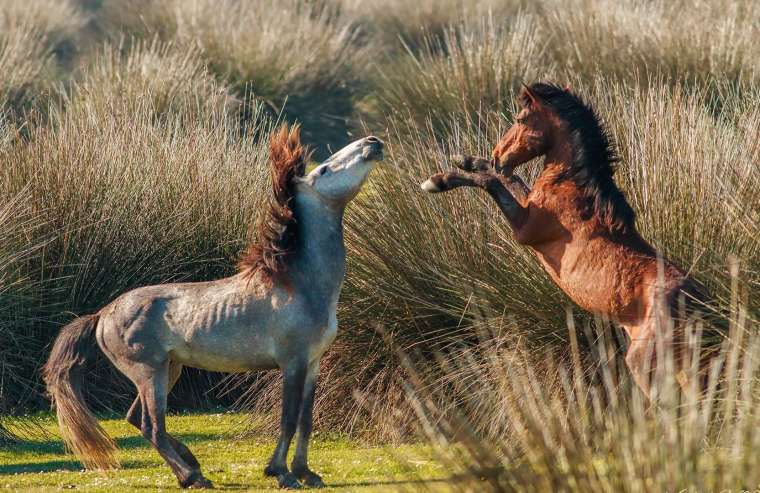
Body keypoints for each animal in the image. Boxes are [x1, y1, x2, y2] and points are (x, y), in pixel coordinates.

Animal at [42, 126, 386, 488]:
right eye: (324, 170)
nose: (373, 142)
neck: (298, 283)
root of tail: (103, 314)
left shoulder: (313, 363)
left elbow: (306, 421)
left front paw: (306, 473)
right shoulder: (292, 362)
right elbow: (289, 419)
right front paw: (281, 473)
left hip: (169, 369)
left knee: (137, 418)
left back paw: (192, 465)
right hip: (149, 372)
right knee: (152, 425)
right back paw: (192, 475)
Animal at [422, 81, 708, 396]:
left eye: (521, 119)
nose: (498, 156)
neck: (576, 188)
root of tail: (699, 304)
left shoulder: (524, 229)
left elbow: (493, 183)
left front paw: (438, 181)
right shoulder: (528, 204)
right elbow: (511, 180)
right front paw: (466, 160)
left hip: (647, 367)